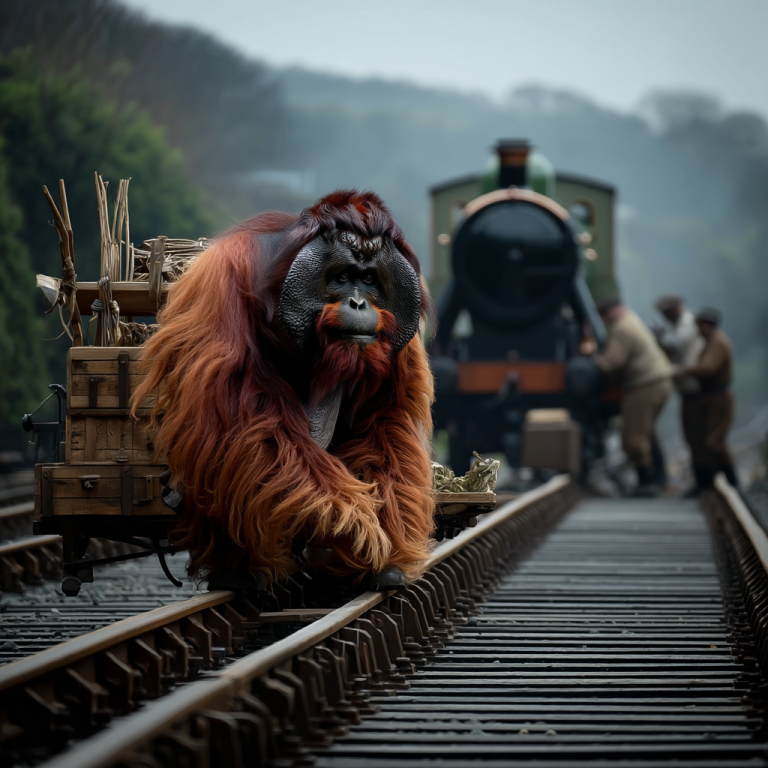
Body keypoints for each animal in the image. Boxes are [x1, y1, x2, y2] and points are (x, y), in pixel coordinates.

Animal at [132, 190, 436, 590]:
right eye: (342, 276)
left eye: (370, 279)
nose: (358, 302)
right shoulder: (226, 283)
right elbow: (243, 419)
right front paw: (352, 520)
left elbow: (385, 422)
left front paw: (381, 555)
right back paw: (242, 572)